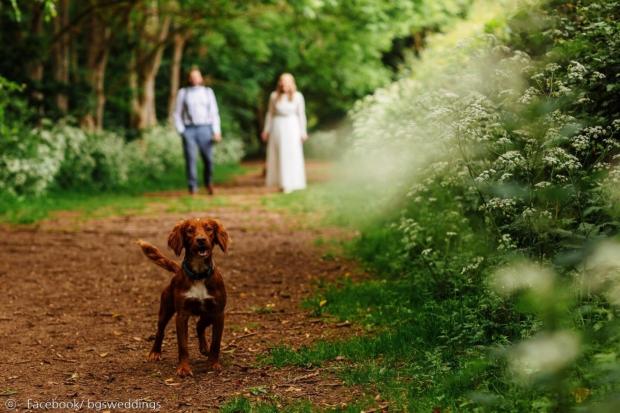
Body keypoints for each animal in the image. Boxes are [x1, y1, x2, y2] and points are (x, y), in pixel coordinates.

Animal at [138, 217, 230, 374]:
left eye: (209, 229)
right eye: (189, 230)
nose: (201, 240)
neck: (199, 275)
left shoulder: (218, 312)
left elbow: (216, 343)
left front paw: (213, 363)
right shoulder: (182, 315)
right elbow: (183, 345)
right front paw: (184, 368)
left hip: (208, 314)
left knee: (199, 325)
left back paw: (204, 348)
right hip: (165, 310)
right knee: (160, 331)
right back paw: (155, 352)